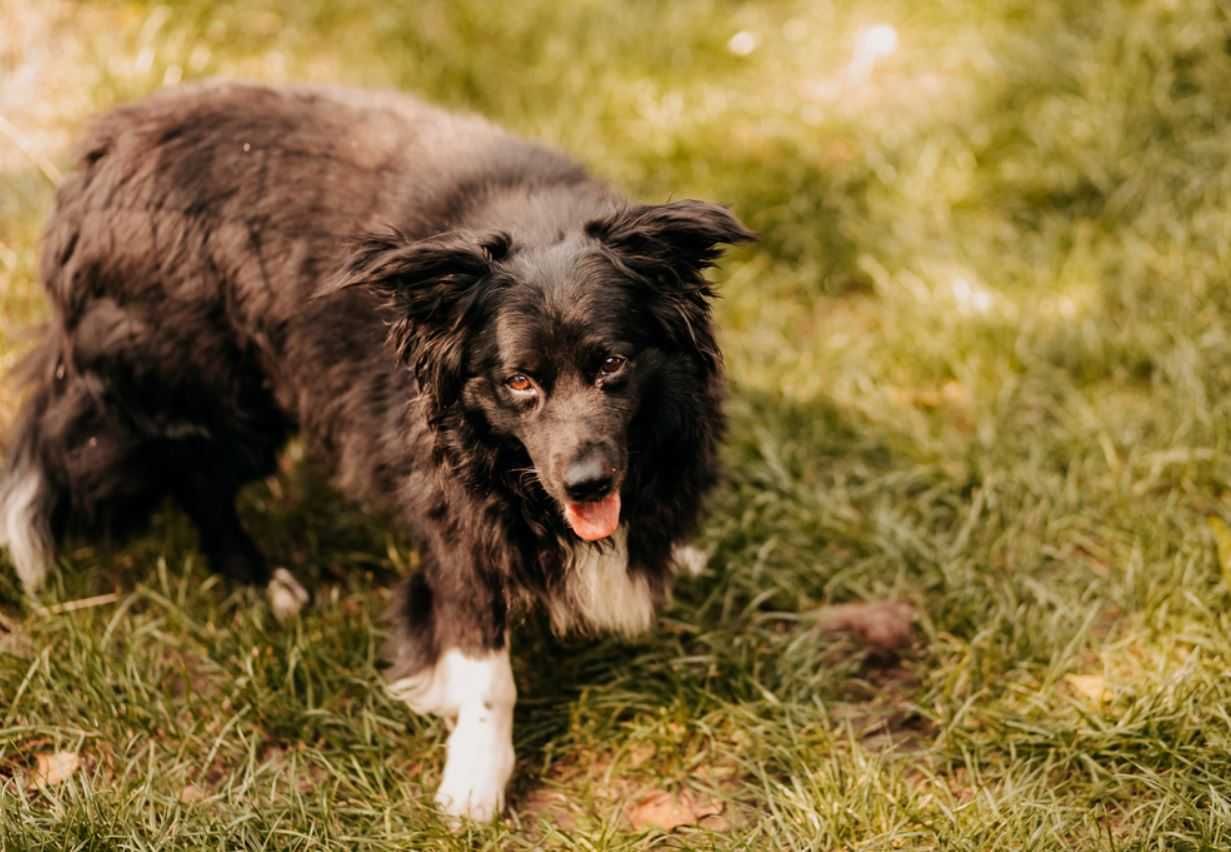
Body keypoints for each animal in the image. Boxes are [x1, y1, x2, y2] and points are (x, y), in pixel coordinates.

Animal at [0, 81, 753, 817]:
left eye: (612, 365)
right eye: (519, 381)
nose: (587, 484)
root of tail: (96, 162)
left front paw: (673, 555)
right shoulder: (455, 520)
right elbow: (486, 669)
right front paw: (475, 783)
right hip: (221, 393)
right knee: (200, 480)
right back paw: (263, 583)